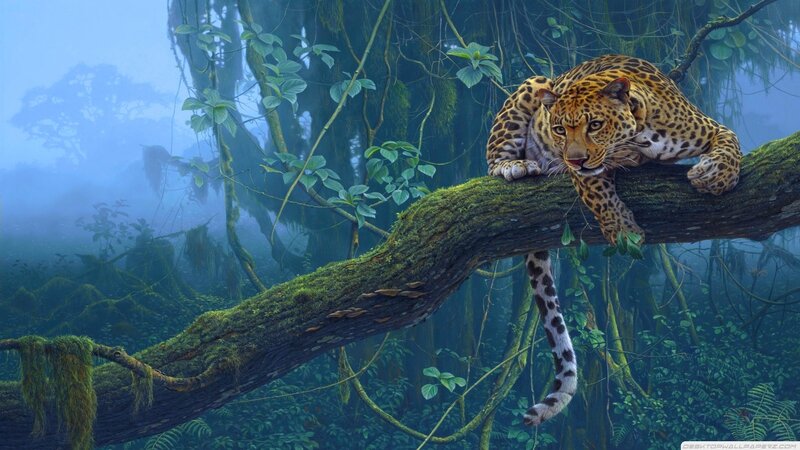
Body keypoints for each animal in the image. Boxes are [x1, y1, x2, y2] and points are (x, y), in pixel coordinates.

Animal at [486, 54, 742, 426]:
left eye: (594, 124)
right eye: (559, 129)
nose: (574, 158)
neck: (640, 136)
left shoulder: (708, 126)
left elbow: (730, 141)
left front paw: (716, 176)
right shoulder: (585, 173)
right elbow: (598, 192)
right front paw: (623, 230)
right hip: (534, 84)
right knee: (493, 160)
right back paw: (515, 165)